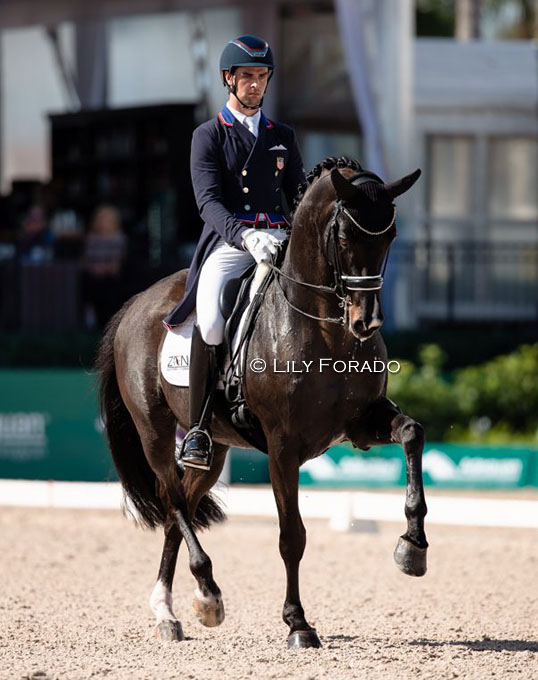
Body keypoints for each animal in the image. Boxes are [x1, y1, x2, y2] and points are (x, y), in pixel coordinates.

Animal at [96, 156, 428, 649]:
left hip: (214, 449)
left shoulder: (361, 423)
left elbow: (412, 433)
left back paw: (174, 609)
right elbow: (292, 536)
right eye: (344, 237)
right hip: (155, 432)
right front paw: (298, 623)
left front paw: (412, 546)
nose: (366, 323)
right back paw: (205, 595)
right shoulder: (282, 446)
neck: (326, 329)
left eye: (389, 236)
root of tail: (136, 302)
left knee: (182, 507)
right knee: (171, 498)